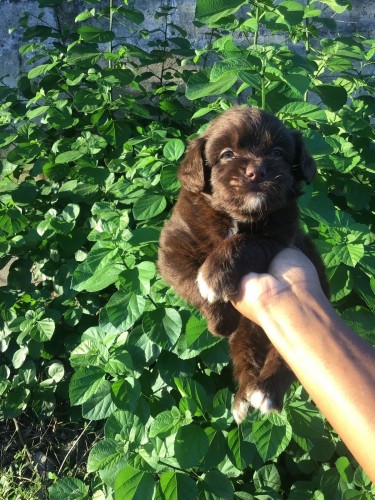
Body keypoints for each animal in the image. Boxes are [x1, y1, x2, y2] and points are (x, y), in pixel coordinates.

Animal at [159, 107, 328, 424]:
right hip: (246, 336)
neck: (237, 217)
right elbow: (190, 281)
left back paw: (266, 391)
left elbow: (245, 242)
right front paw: (220, 321)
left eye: (277, 152)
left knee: (290, 358)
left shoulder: (280, 239)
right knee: (248, 360)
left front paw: (213, 275)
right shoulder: (173, 248)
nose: (257, 171)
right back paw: (243, 399)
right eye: (227, 154)